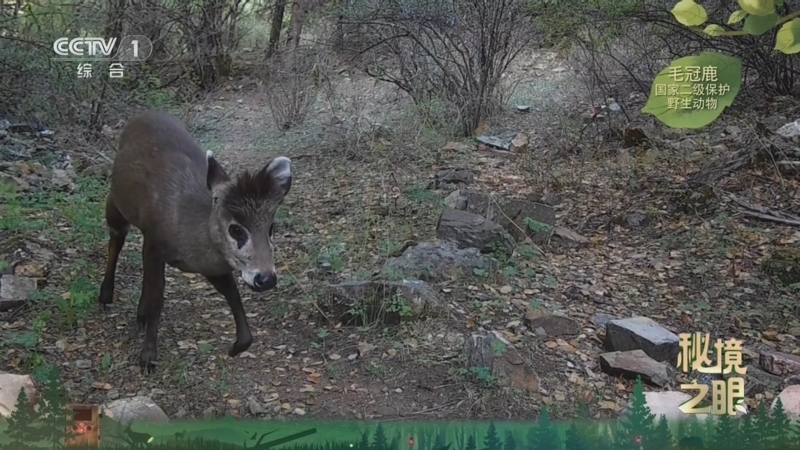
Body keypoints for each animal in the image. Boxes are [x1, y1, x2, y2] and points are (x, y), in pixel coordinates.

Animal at [96, 110, 292, 373]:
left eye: (271, 227)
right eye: (236, 229)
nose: (266, 279)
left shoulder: (211, 266)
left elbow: (233, 295)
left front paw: (235, 347)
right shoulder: (156, 243)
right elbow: (158, 299)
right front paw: (147, 357)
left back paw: (139, 315)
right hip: (116, 202)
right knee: (116, 238)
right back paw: (105, 296)